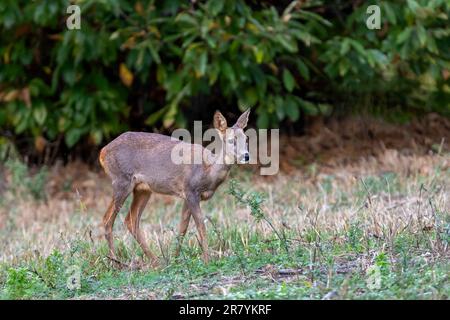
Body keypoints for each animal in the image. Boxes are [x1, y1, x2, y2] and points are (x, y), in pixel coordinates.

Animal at [99, 109, 251, 264]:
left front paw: (176, 259)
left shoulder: (187, 196)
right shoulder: (190, 190)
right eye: (231, 140)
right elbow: (201, 227)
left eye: (246, 138)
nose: (246, 156)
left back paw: (156, 261)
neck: (207, 171)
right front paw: (207, 261)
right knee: (107, 220)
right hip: (121, 181)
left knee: (131, 220)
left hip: (142, 189)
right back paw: (115, 262)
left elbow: (182, 228)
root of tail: (103, 151)